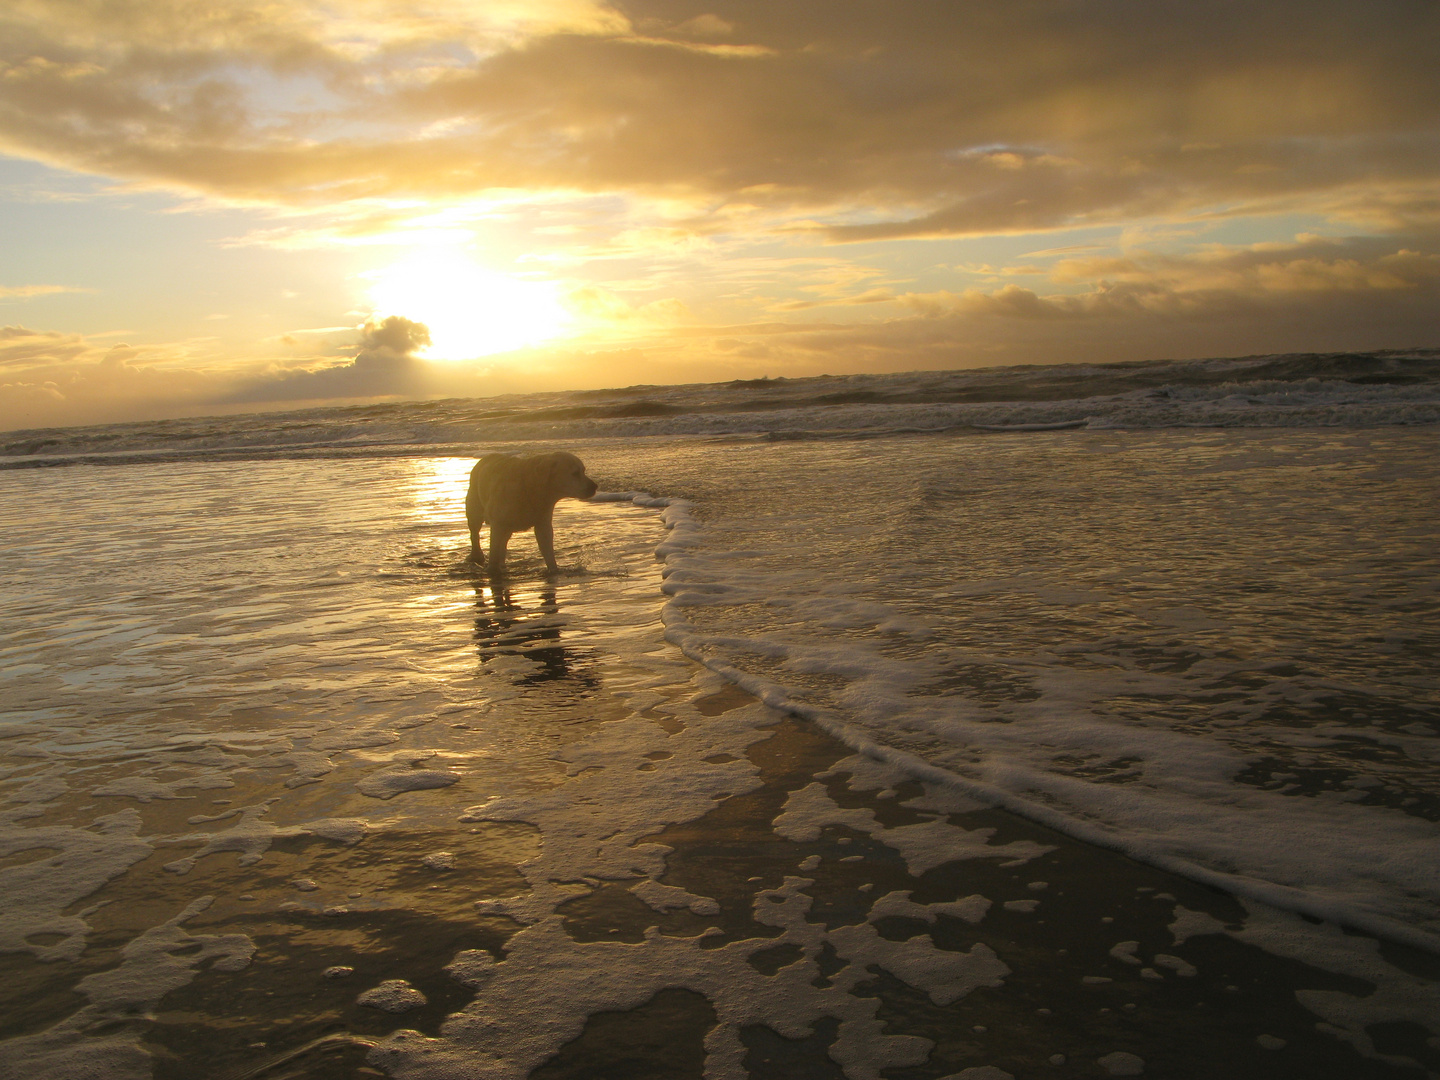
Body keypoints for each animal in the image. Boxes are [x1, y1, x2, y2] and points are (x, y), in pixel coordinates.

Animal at [460, 452, 596, 578]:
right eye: (575, 473)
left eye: (583, 471)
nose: (595, 486)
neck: (529, 487)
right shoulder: (498, 524)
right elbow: (493, 550)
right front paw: (492, 571)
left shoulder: (543, 523)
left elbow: (548, 550)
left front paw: (554, 571)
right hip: (475, 509)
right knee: (475, 533)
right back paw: (477, 556)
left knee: (503, 542)